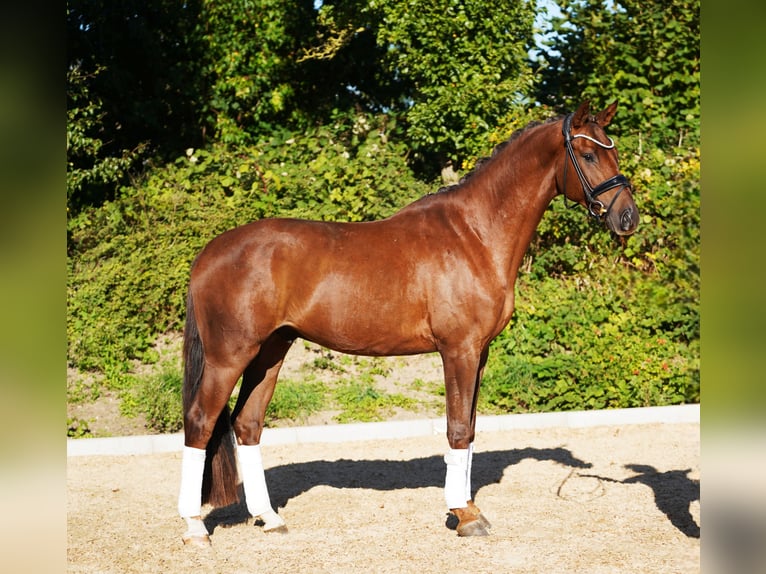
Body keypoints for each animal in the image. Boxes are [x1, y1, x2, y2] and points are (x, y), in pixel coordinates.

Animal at [177, 101, 639, 546]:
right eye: (588, 154)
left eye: (614, 151)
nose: (628, 218)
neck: (475, 234)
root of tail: (209, 254)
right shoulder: (458, 350)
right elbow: (457, 429)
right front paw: (465, 516)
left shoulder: (480, 353)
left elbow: (471, 429)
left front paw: (467, 507)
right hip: (229, 356)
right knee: (200, 422)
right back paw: (195, 527)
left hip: (272, 350)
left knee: (247, 424)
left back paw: (270, 518)